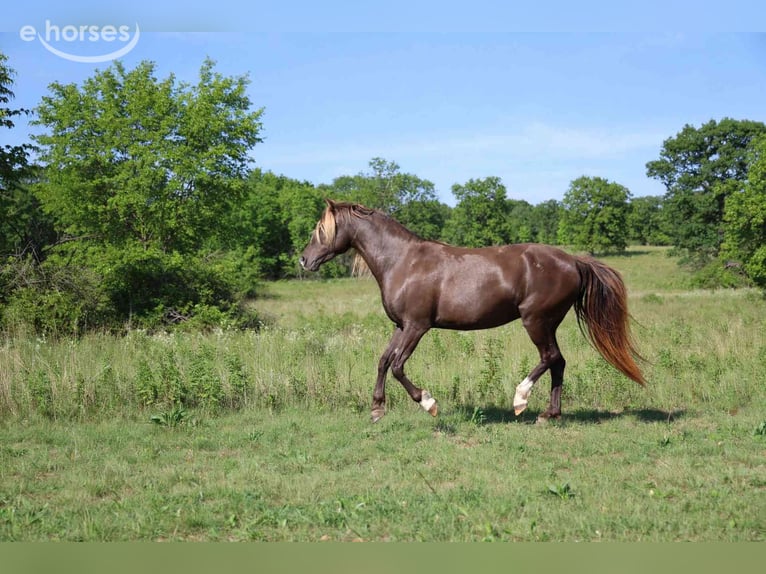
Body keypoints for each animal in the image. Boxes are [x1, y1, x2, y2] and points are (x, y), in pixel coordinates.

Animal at [300, 199, 645, 423]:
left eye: (321, 228)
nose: (304, 260)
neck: (402, 261)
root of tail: (573, 260)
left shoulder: (417, 326)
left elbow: (398, 367)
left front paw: (429, 403)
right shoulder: (400, 326)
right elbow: (384, 361)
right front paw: (376, 409)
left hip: (536, 321)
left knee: (550, 358)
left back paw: (520, 400)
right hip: (548, 324)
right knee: (558, 362)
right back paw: (549, 414)